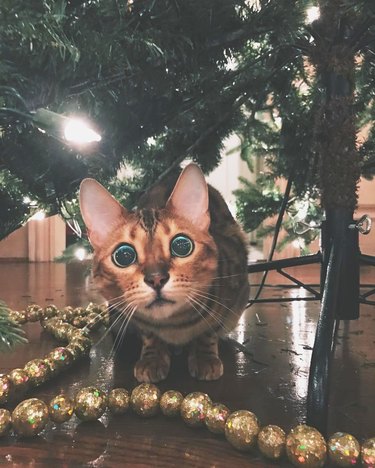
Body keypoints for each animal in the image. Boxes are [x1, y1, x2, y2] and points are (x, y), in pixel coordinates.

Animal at [79, 163, 250, 382]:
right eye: (124, 256)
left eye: (182, 246)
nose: (156, 278)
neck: (173, 326)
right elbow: (149, 334)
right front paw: (153, 357)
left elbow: (209, 329)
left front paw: (204, 356)